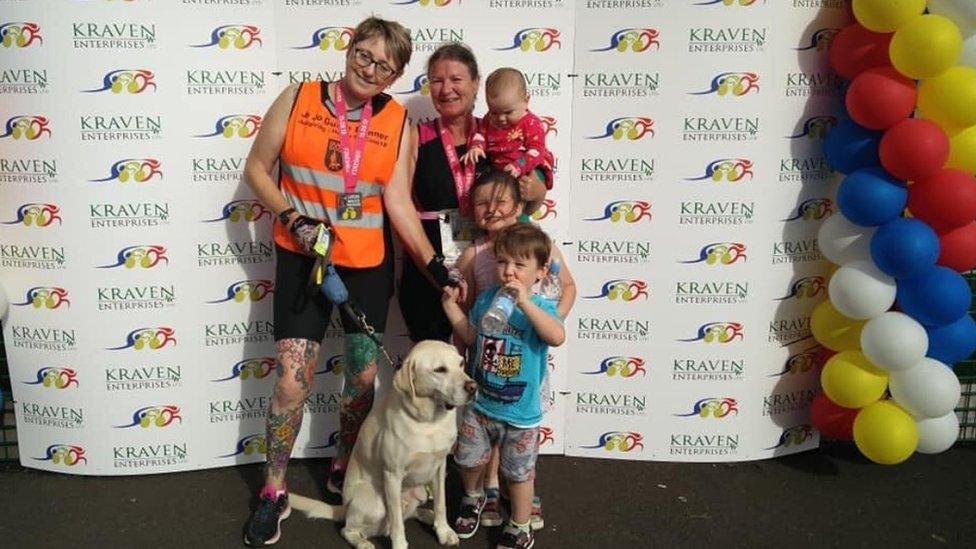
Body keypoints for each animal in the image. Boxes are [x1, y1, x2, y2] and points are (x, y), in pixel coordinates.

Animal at [288, 340, 474, 544]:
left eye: (461, 364)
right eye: (440, 370)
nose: (473, 387)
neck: (428, 423)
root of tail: (345, 507)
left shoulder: (440, 466)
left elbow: (441, 503)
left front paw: (443, 530)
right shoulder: (393, 475)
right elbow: (396, 521)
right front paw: (400, 544)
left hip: (420, 492)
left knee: (410, 513)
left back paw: (428, 515)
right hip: (374, 502)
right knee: (350, 529)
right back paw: (363, 543)